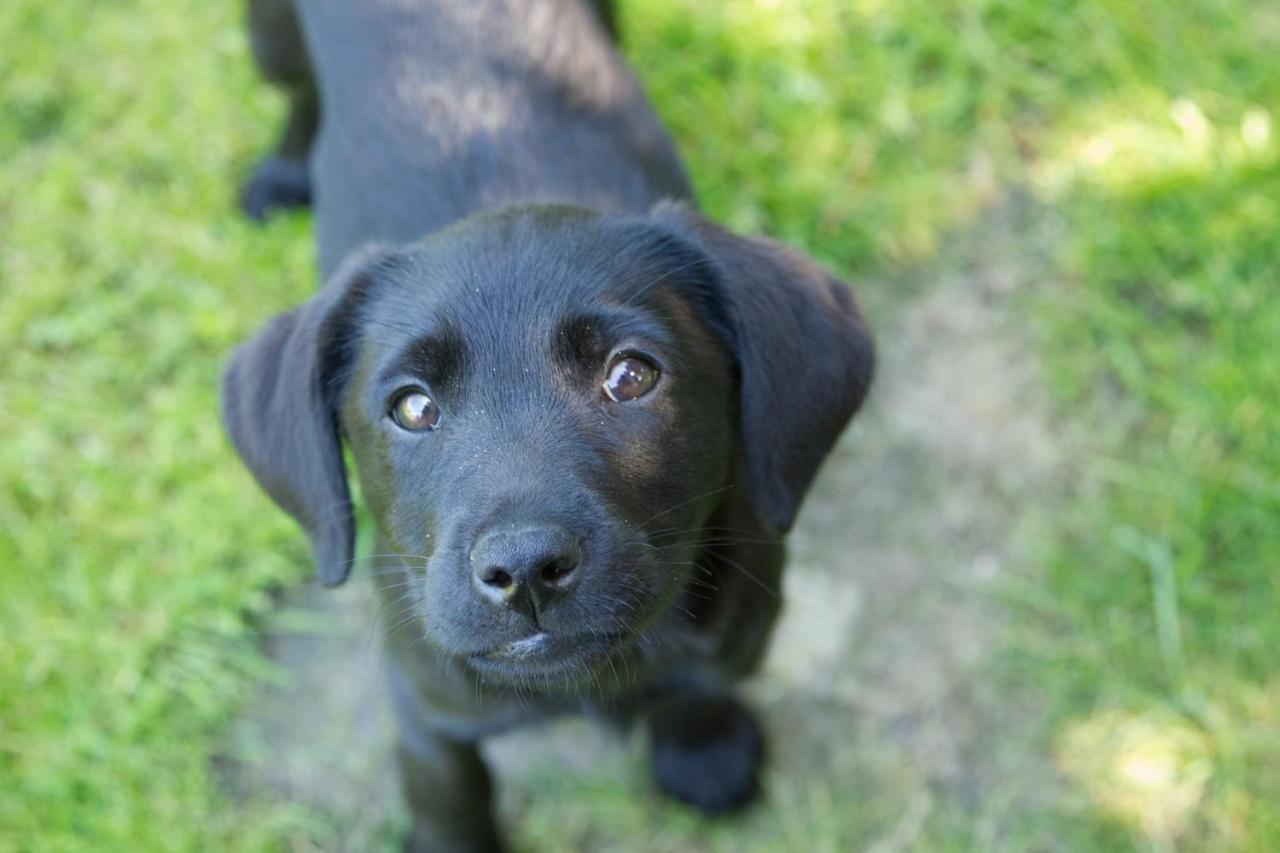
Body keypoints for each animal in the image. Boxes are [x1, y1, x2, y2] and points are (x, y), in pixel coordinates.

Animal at [225, 3, 875, 845]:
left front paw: (703, 749)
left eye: (631, 375)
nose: (525, 567)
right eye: (413, 407)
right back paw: (285, 170)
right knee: (300, 95)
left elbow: (699, 679)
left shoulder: (744, 621)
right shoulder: (425, 706)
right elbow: (450, 798)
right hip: (270, 38)